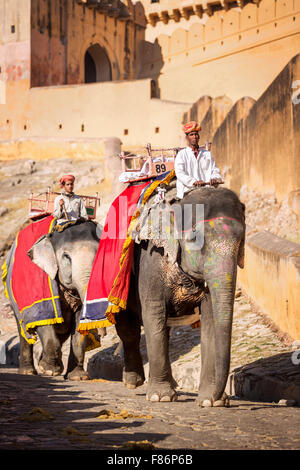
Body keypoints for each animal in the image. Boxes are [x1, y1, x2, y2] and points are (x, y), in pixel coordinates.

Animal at [9, 222, 101, 380]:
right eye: (66, 257)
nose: (100, 334)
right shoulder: (41, 282)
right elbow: (44, 318)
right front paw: (49, 370)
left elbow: (78, 326)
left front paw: (78, 377)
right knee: (24, 329)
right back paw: (28, 371)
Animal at [113, 185, 245, 406]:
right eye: (194, 240)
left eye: (241, 241)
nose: (221, 395)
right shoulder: (151, 260)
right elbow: (153, 313)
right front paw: (160, 397)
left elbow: (210, 318)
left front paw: (211, 402)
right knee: (128, 328)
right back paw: (134, 382)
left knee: (164, 330)